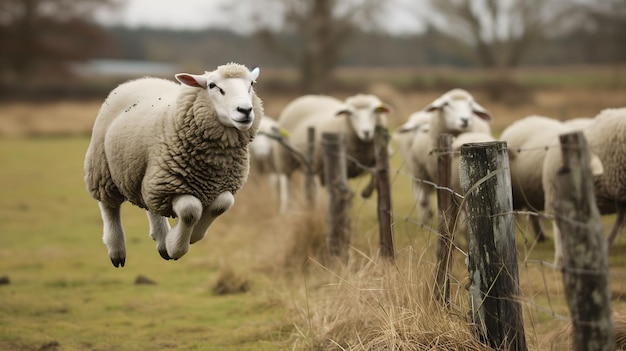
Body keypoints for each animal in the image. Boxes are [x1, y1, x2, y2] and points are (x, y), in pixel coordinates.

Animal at [83, 62, 260, 266]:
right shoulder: (172, 186)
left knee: (151, 206)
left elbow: (222, 204)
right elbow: (190, 210)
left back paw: (161, 242)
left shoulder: (219, 186)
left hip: (149, 176)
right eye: (212, 85)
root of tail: (142, 79)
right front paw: (175, 245)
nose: (245, 110)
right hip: (103, 167)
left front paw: (190, 236)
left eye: (251, 84)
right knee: (109, 207)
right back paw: (117, 250)